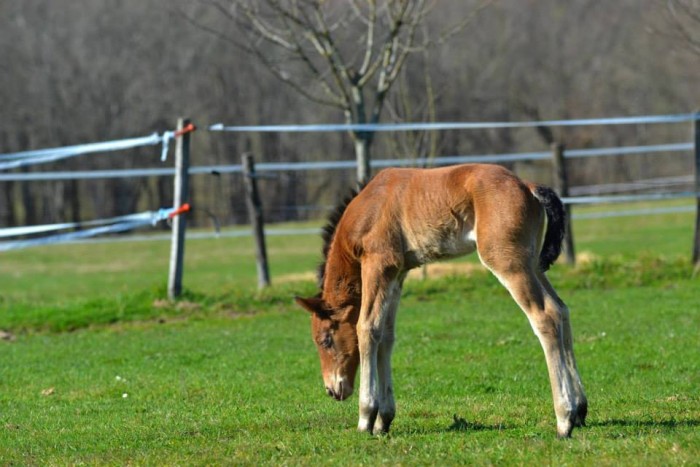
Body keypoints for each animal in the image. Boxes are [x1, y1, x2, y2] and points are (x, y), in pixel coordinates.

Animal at [298, 163, 588, 436]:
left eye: (325, 340)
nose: (332, 389)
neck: (370, 205)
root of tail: (527, 185)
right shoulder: (398, 273)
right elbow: (386, 335)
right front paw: (384, 420)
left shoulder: (378, 263)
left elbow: (367, 328)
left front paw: (366, 417)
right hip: (532, 263)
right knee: (562, 310)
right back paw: (580, 410)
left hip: (507, 261)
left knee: (545, 316)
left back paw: (564, 419)